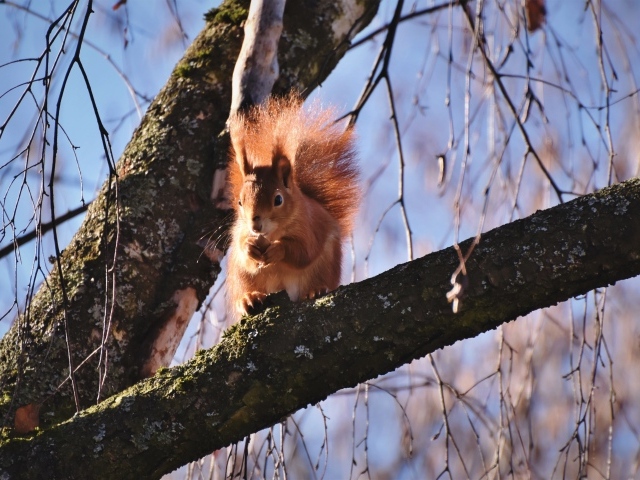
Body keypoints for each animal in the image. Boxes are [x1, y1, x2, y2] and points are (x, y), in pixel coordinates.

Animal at [228, 94, 360, 318]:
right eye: (239, 202)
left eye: (278, 200)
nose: (255, 224)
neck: (271, 234)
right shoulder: (240, 232)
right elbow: (243, 249)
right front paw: (249, 247)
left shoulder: (309, 226)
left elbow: (303, 251)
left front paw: (278, 250)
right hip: (239, 275)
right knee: (245, 286)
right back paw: (249, 298)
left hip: (326, 265)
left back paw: (315, 290)